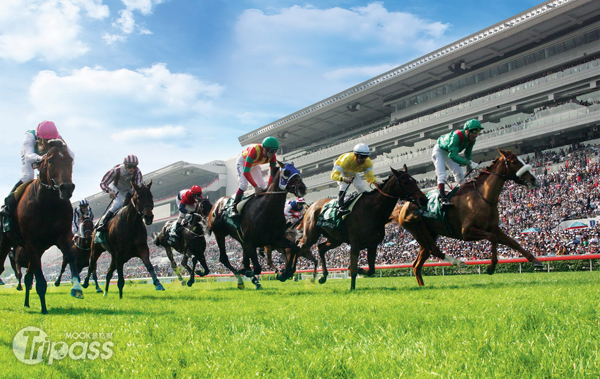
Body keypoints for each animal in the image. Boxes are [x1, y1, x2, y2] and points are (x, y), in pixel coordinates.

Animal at [0, 142, 81, 314]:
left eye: (70, 160)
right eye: (50, 160)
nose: (67, 188)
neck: (48, 204)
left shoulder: (62, 237)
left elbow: (70, 256)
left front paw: (77, 288)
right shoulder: (32, 243)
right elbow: (40, 280)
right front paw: (44, 308)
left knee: (27, 276)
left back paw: (26, 303)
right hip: (6, 243)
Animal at [209, 162, 308, 290]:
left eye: (298, 172)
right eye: (287, 172)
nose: (302, 188)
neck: (266, 210)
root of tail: (217, 203)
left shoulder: (275, 239)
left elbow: (293, 247)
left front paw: (285, 273)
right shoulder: (252, 242)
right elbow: (256, 268)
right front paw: (246, 272)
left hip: (240, 239)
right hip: (219, 233)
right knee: (224, 258)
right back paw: (241, 280)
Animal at [298, 166, 428, 290]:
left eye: (414, 180)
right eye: (405, 182)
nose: (423, 199)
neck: (372, 210)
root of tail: (311, 206)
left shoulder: (372, 244)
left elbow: (371, 270)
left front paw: (359, 270)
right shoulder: (355, 244)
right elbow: (354, 269)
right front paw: (352, 288)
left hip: (335, 239)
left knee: (321, 248)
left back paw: (323, 276)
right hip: (311, 235)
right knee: (301, 247)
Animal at [396, 150, 548, 286]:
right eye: (515, 162)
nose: (533, 179)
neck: (483, 197)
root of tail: (403, 206)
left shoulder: (493, 227)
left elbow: (513, 242)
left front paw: (535, 260)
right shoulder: (467, 232)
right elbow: (493, 238)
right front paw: (491, 266)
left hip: (429, 235)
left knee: (417, 264)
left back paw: (422, 285)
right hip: (419, 230)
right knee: (433, 251)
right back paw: (459, 263)